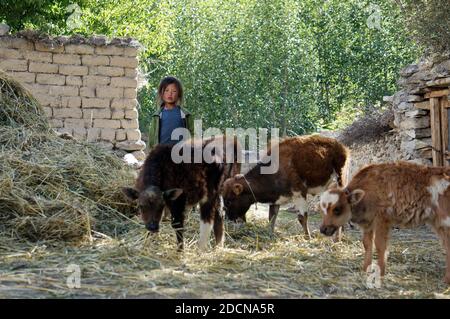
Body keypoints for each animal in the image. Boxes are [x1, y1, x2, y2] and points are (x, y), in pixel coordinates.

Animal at [221, 134, 352, 238]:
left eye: (229, 201)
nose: (227, 218)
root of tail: (341, 146)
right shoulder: (276, 199)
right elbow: (272, 217)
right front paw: (270, 234)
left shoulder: (299, 193)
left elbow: (302, 217)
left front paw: (308, 237)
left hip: (341, 180)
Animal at [318, 162, 450, 284]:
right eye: (322, 209)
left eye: (337, 210)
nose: (323, 229)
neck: (367, 191)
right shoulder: (368, 223)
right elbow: (367, 244)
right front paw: (365, 269)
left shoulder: (382, 219)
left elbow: (380, 245)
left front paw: (380, 272)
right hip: (438, 223)